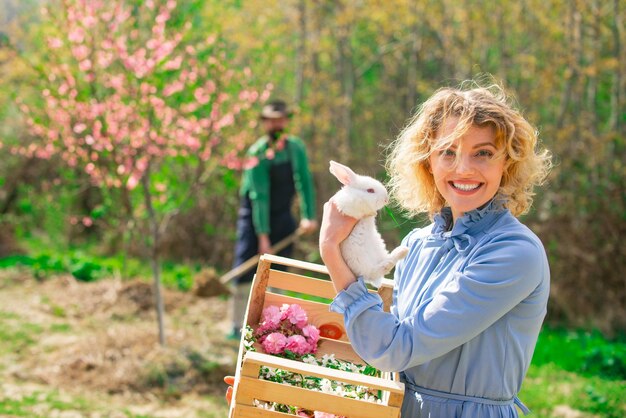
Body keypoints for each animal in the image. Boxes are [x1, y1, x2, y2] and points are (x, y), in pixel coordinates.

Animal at [326, 160, 410, 288]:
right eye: (370, 190)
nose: (386, 199)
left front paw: (372, 214)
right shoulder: (350, 208)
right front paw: (371, 213)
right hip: (364, 261)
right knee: (383, 267)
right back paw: (403, 251)